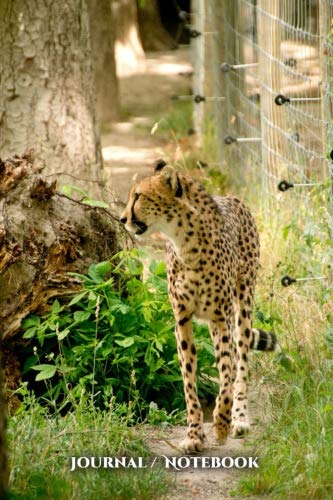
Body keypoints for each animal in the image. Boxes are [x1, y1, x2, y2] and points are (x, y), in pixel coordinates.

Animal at [119, 161, 274, 454]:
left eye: (139, 196)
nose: (123, 219)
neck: (185, 241)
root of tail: (232, 197)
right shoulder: (183, 320)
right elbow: (189, 380)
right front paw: (194, 434)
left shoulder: (221, 318)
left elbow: (226, 376)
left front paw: (222, 425)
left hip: (244, 304)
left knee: (241, 364)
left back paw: (239, 418)